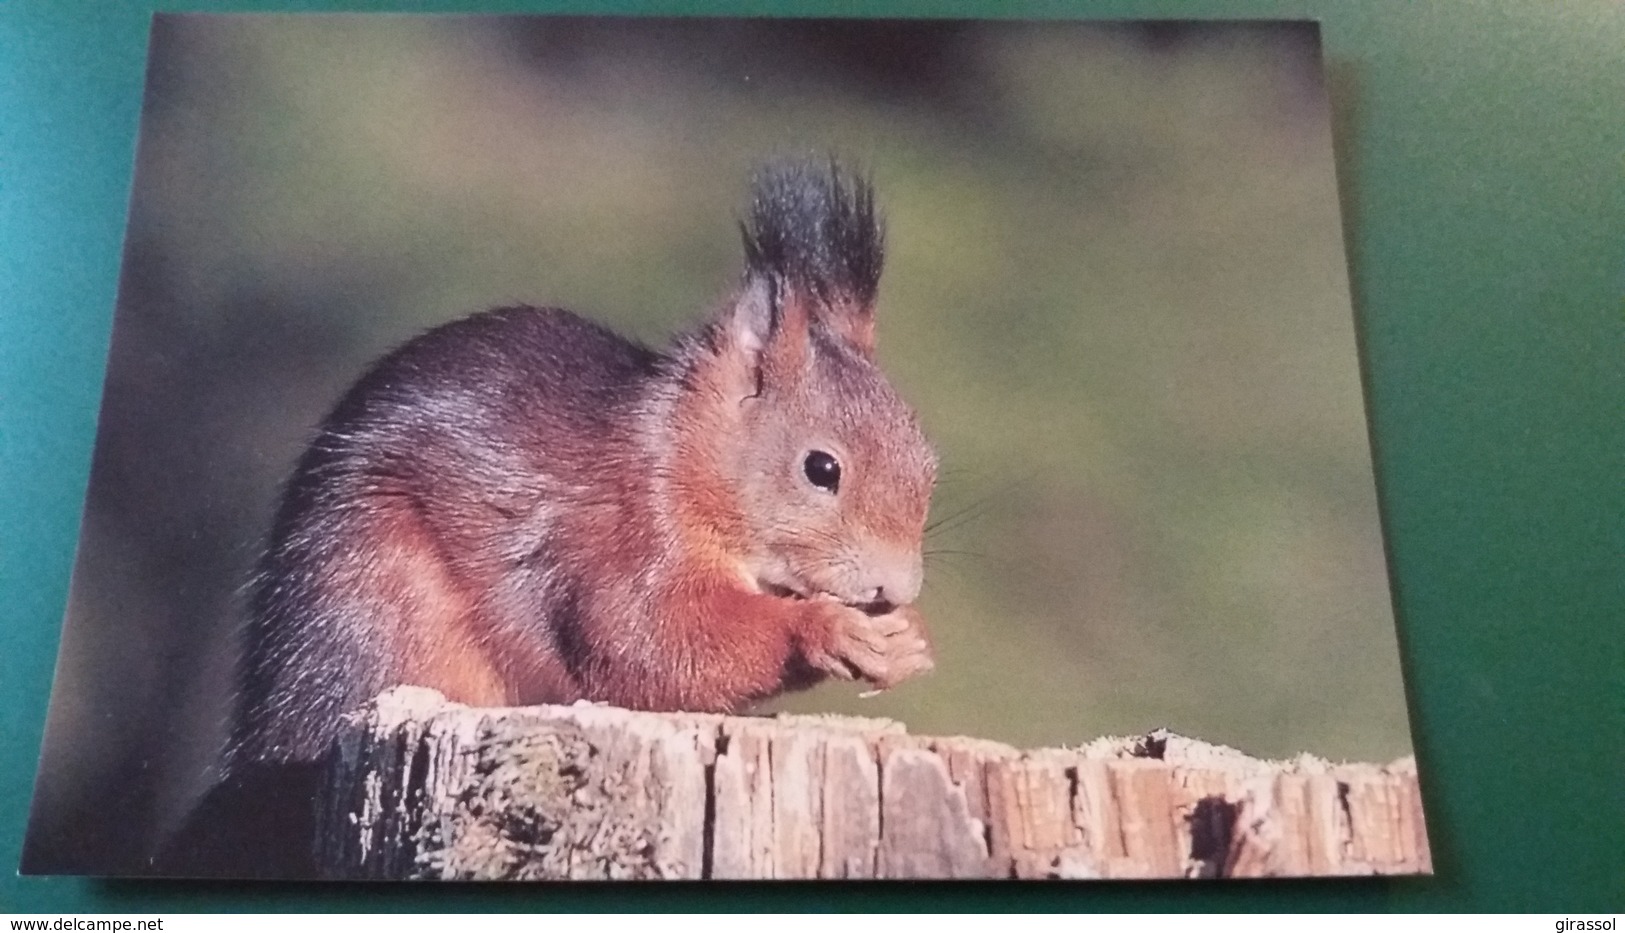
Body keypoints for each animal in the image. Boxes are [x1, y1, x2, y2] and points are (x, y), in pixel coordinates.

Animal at [229, 162, 942, 773]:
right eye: (821, 468)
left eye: (928, 463)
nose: (898, 588)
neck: (681, 456)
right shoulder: (623, 535)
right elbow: (644, 642)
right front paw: (826, 627)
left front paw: (908, 638)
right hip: (379, 614)